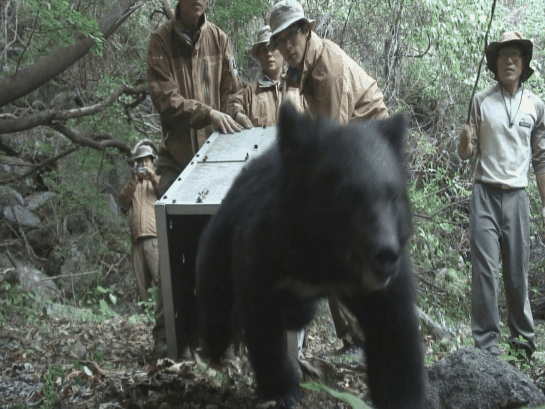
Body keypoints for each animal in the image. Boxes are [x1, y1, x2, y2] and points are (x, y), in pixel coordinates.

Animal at [196, 103, 424, 408]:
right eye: (346, 195)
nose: (385, 256)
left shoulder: (384, 284)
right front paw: (283, 390)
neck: (325, 259)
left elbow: (394, 333)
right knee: (216, 297)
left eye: (394, 195)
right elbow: (261, 320)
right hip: (220, 240)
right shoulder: (264, 247)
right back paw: (213, 350)